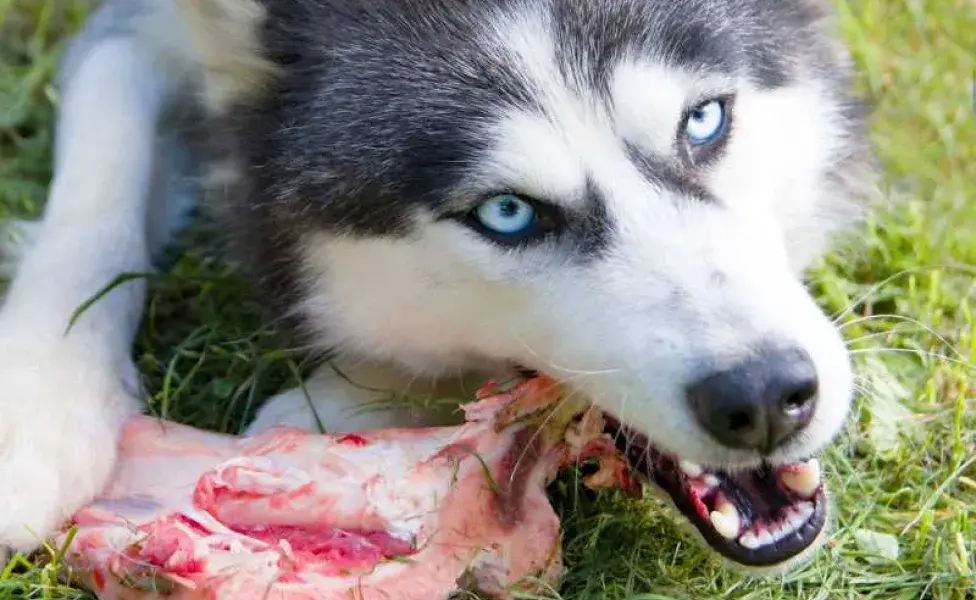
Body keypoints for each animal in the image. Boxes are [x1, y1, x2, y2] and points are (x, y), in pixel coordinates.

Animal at [0, 0, 868, 576]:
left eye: (704, 121)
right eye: (507, 214)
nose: (764, 396)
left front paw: (349, 398)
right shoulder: (133, 35)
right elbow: (101, 171)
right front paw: (38, 407)